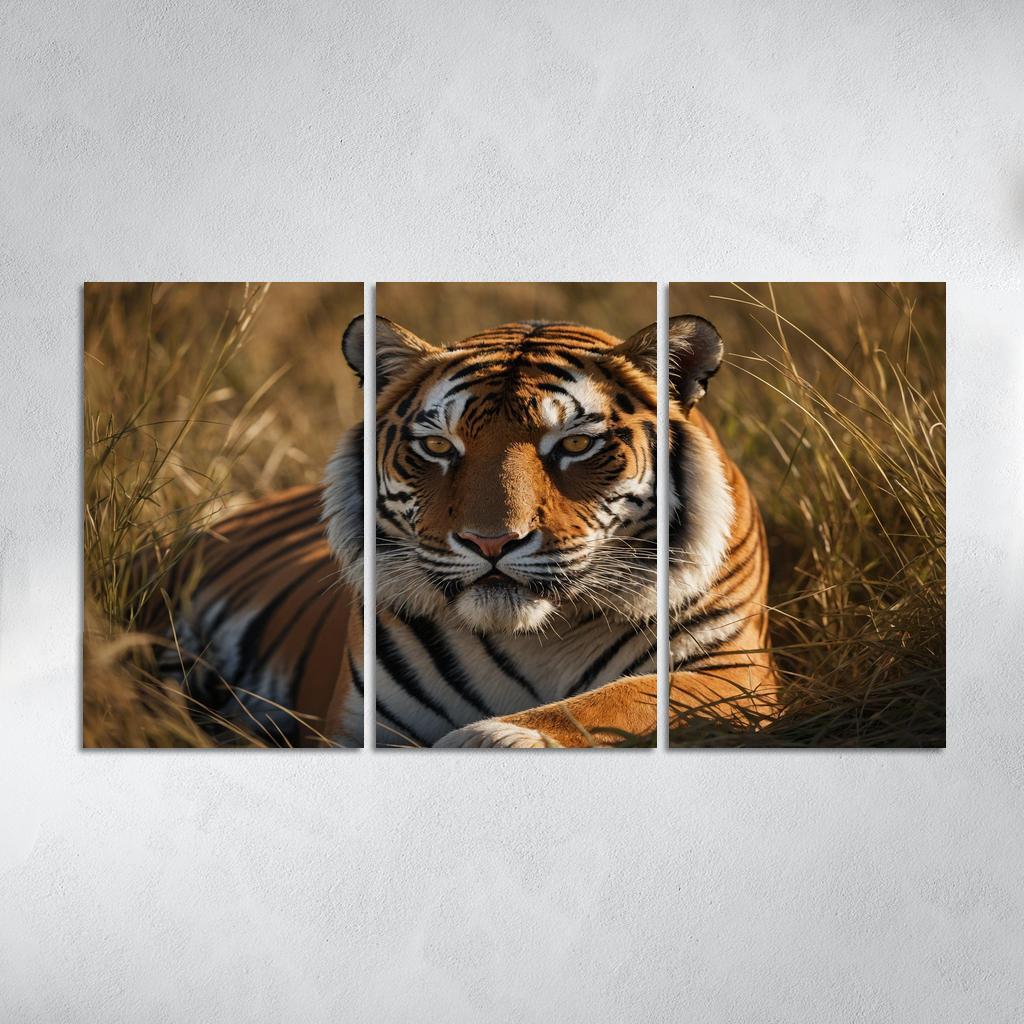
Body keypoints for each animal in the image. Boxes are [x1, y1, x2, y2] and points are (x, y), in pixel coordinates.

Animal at [158, 313, 777, 748]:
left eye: (576, 443)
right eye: (438, 446)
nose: (491, 542)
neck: (537, 639)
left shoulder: (734, 669)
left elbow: (626, 698)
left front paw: (492, 737)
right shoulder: (361, 722)